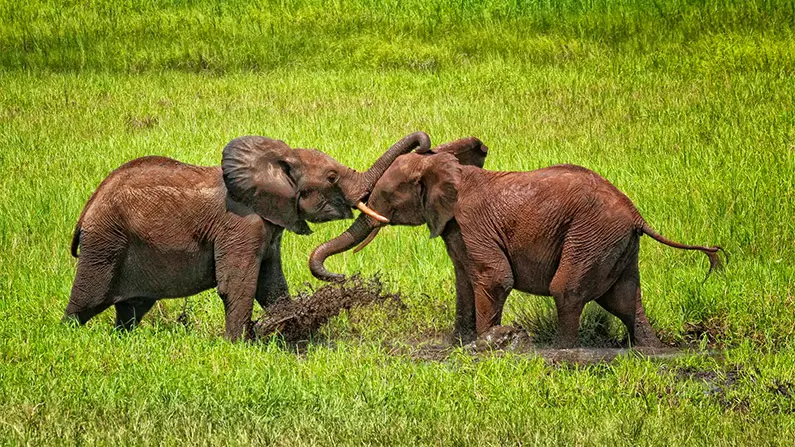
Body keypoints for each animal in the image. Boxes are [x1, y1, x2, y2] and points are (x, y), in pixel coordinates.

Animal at [65, 131, 431, 340]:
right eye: (331, 177)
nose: (424, 147)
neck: (278, 162)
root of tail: (87, 208)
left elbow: (272, 285)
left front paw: (288, 332)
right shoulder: (240, 225)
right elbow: (238, 284)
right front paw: (238, 345)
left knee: (132, 309)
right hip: (105, 241)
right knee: (86, 301)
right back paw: (69, 337)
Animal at [309, 141, 724, 348]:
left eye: (385, 196)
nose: (342, 278)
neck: (451, 170)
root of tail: (637, 215)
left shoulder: (472, 223)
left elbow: (493, 279)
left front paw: (483, 345)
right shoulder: (455, 228)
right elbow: (464, 281)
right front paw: (457, 344)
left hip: (590, 235)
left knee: (567, 290)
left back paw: (562, 351)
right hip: (614, 243)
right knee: (626, 300)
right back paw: (650, 351)